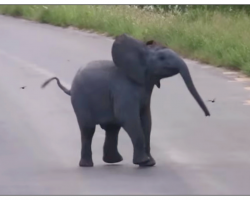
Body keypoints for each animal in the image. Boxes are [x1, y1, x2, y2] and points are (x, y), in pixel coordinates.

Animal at [41, 34, 211, 167]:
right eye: (162, 58)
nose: (207, 115)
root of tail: (70, 88)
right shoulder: (124, 89)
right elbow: (129, 118)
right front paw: (144, 162)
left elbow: (146, 120)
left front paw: (150, 163)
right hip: (80, 100)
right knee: (88, 130)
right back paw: (87, 165)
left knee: (112, 129)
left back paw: (113, 161)